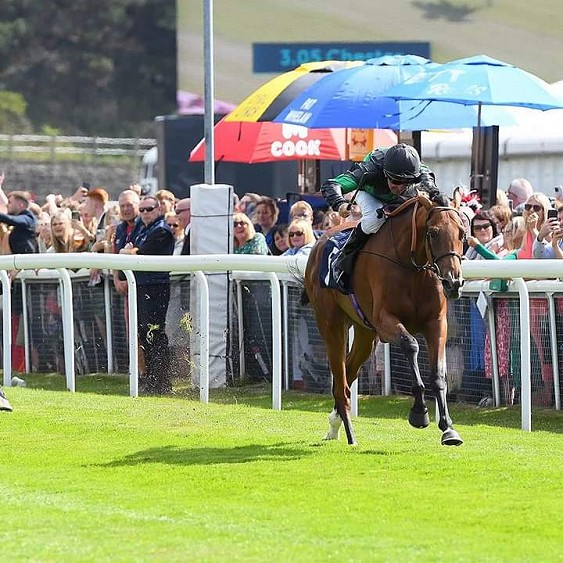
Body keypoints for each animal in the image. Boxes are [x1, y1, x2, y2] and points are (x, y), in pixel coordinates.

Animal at [304, 196, 468, 448]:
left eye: (462, 233)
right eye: (432, 233)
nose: (453, 283)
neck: (413, 268)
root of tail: (320, 240)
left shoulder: (437, 324)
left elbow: (439, 375)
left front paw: (448, 429)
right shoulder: (384, 322)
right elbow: (410, 345)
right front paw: (419, 413)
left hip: (365, 334)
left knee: (347, 373)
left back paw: (334, 424)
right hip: (331, 324)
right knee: (340, 381)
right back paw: (350, 435)